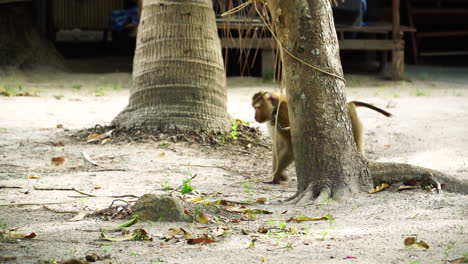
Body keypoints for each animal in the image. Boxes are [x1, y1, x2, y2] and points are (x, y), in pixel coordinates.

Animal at [252, 90, 392, 184]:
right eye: (254, 107)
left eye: (258, 108)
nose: (255, 117)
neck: (274, 109)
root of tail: (348, 104)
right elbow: (278, 146)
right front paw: (278, 174)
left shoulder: (282, 116)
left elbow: (290, 147)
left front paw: (276, 175)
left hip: (353, 121)